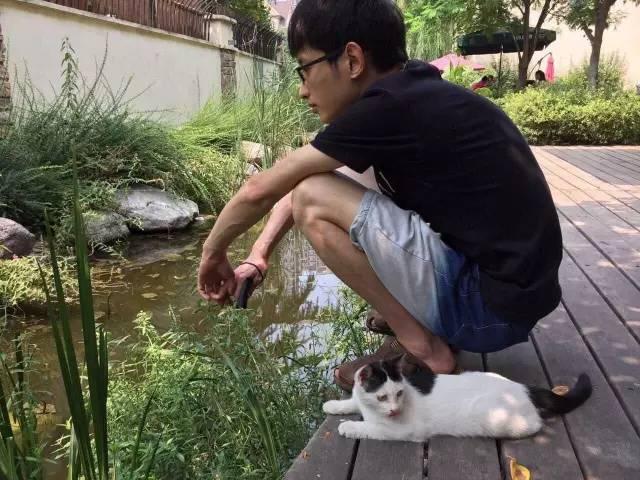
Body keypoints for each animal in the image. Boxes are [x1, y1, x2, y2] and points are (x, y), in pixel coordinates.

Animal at [323, 354, 592, 442]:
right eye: (381, 397)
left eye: (399, 393)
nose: (394, 410)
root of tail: (523, 387)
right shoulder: (361, 400)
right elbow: (351, 401)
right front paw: (333, 405)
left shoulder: (403, 430)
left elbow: (371, 428)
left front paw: (349, 426)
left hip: (497, 419)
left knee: (535, 424)